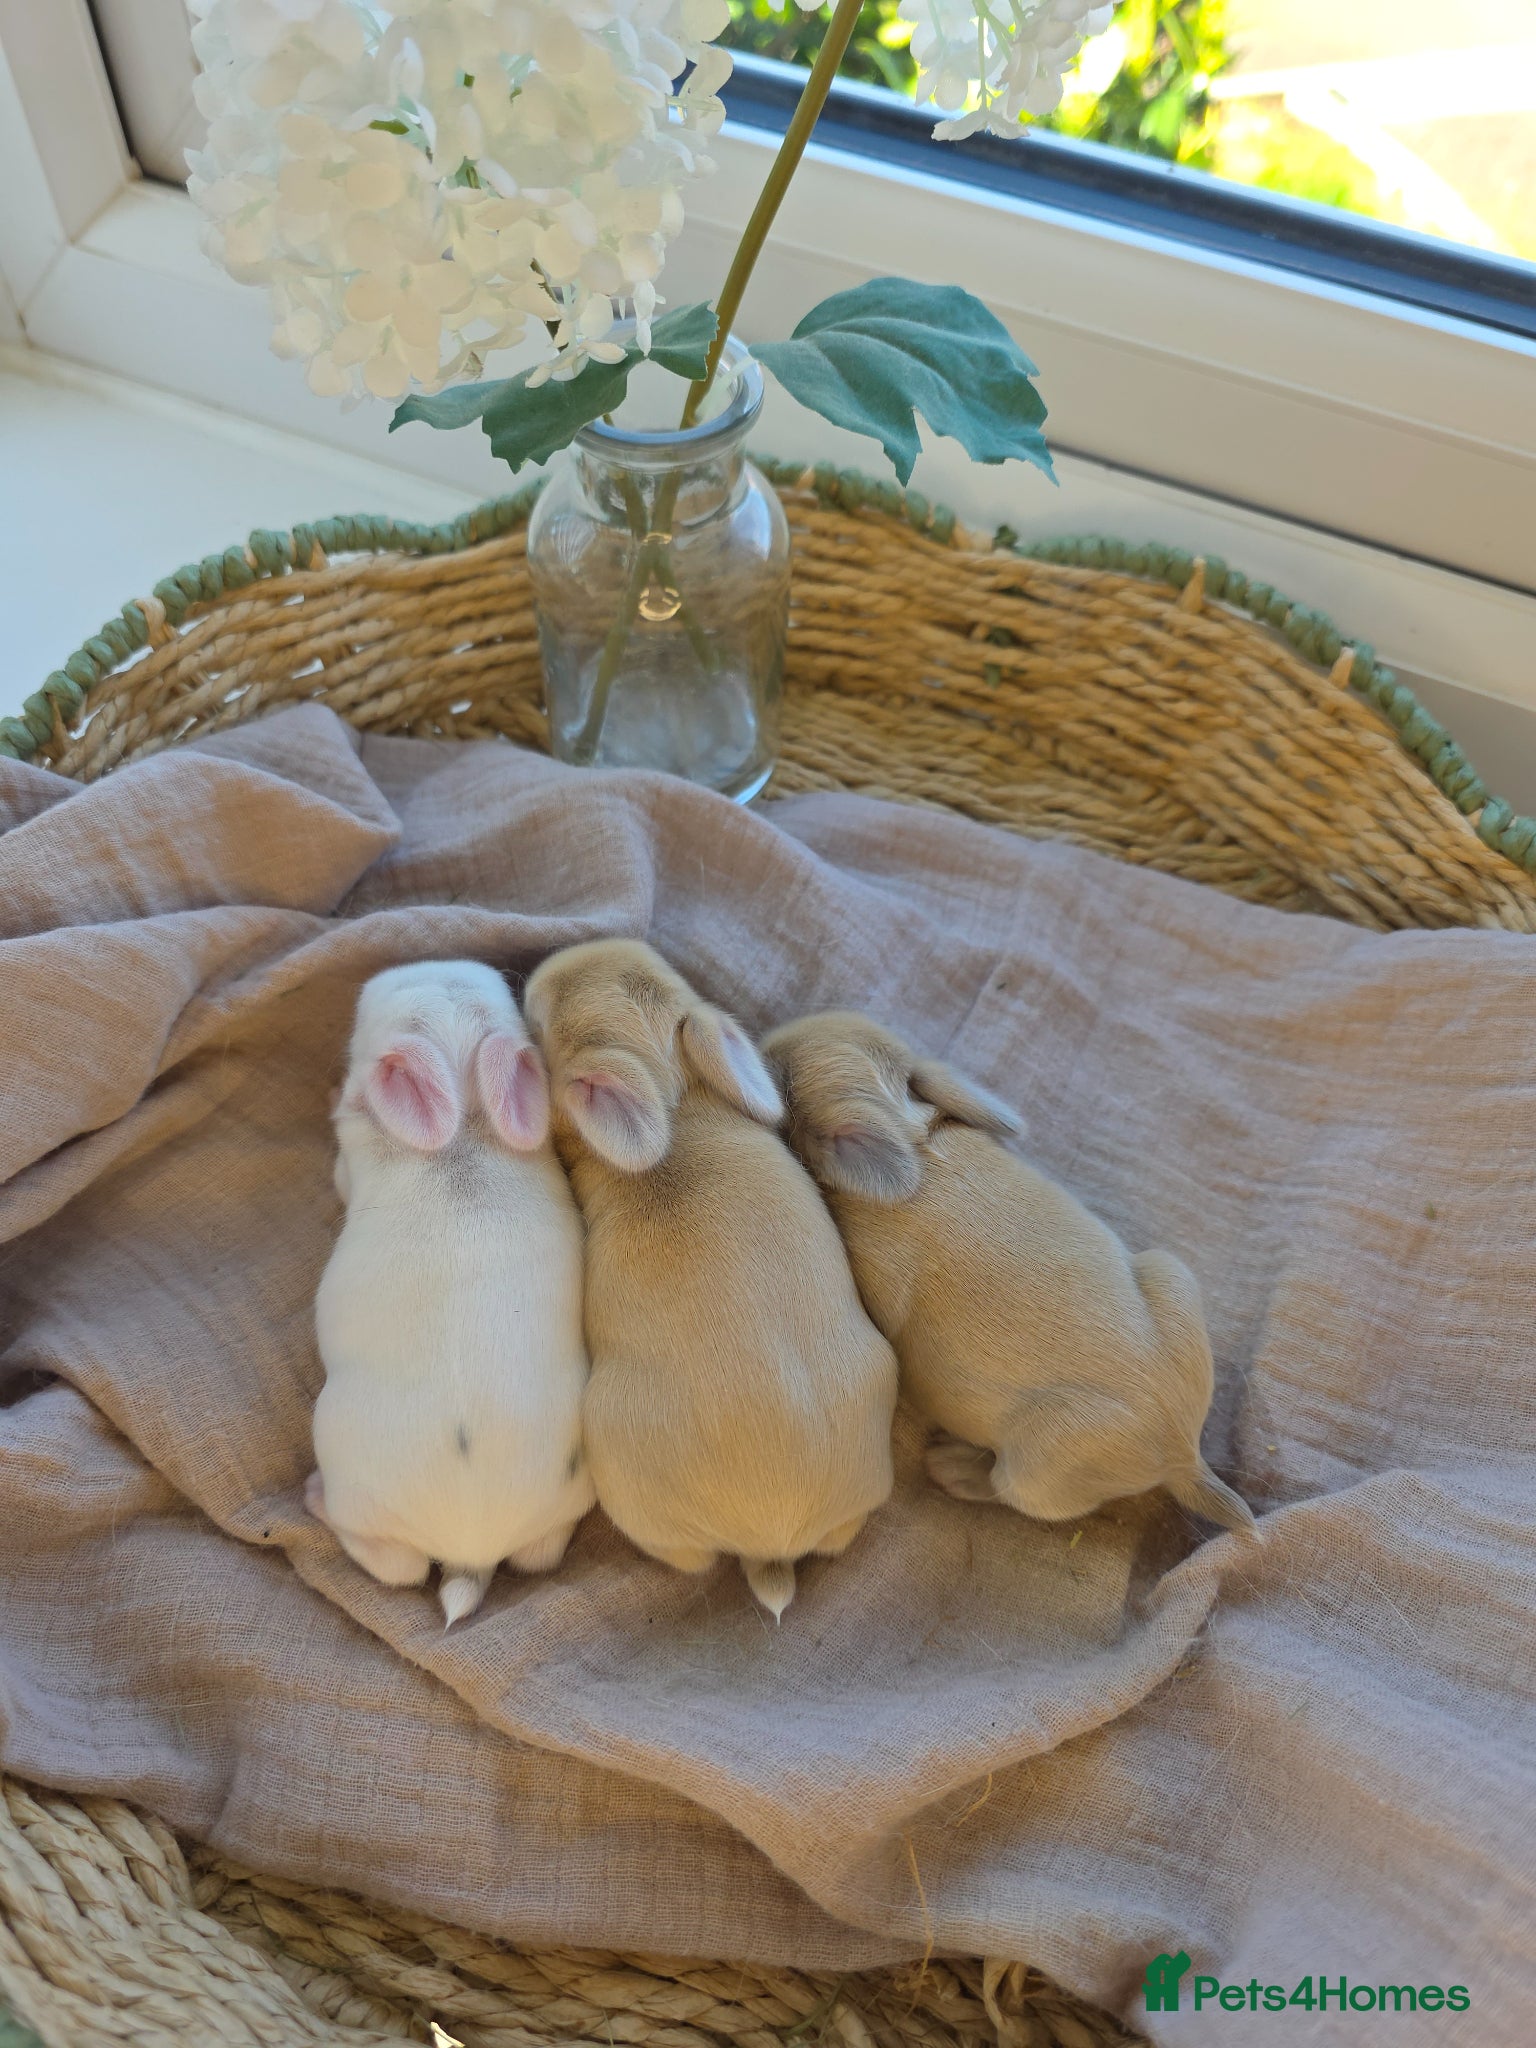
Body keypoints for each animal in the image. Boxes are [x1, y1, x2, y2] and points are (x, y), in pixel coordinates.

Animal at [309, 959, 595, 1626]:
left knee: (396, 1566)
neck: (464, 1123)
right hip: (560, 1514)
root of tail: (472, 1551)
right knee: (540, 1555)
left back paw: (311, 1497)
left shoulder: (347, 1166)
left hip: (353, 1480)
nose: (410, 963)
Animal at [761, 1011, 1255, 1538]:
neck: (915, 1134)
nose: (764, 1040)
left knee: (1006, 1490)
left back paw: (951, 1467)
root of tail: (1183, 1452)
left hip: (1039, 1465)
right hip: (1170, 1272)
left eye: (782, 1081)